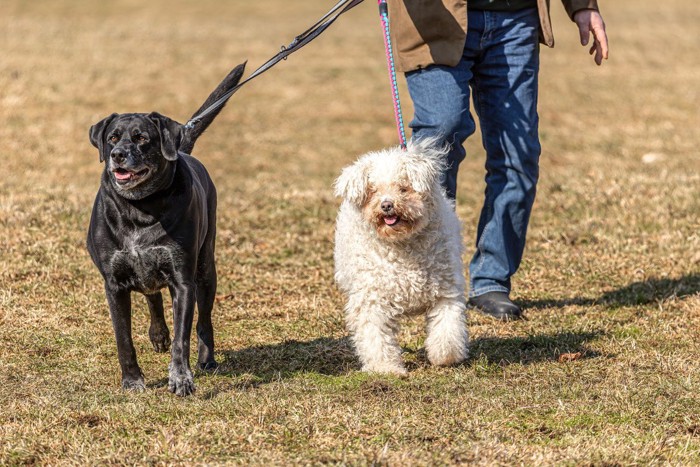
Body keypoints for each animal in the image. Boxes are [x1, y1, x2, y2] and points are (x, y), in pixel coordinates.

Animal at [87, 62, 246, 396]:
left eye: (141, 138)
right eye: (112, 138)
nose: (117, 155)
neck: (140, 208)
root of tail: (182, 146)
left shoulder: (182, 280)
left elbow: (182, 338)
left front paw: (181, 378)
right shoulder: (114, 283)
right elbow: (123, 339)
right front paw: (132, 380)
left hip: (205, 267)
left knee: (204, 320)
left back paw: (206, 360)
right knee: (152, 295)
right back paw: (158, 334)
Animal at [334, 140, 470, 376]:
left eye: (403, 188)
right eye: (373, 191)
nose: (387, 205)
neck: (401, 243)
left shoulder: (445, 290)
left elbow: (447, 327)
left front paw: (446, 356)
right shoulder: (373, 299)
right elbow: (376, 337)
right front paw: (386, 368)